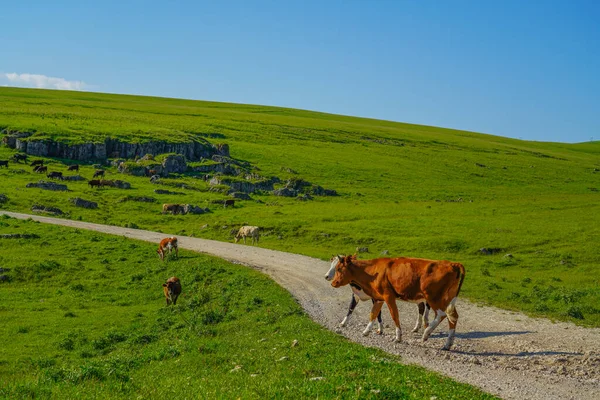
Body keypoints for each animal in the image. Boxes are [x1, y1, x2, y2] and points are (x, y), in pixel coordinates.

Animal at [328, 256, 464, 350]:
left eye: (339, 268)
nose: (333, 283)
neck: (372, 272)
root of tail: (452, 264)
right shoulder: (379, 298)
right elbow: (373, 314)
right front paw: (366, 331)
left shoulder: (388, 296)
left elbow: (394, 315)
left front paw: (398, 337)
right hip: (448, 298)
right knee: (453, 316)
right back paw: (448, 344)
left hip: (433, 297)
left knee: (442, 314)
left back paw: (426, 333)